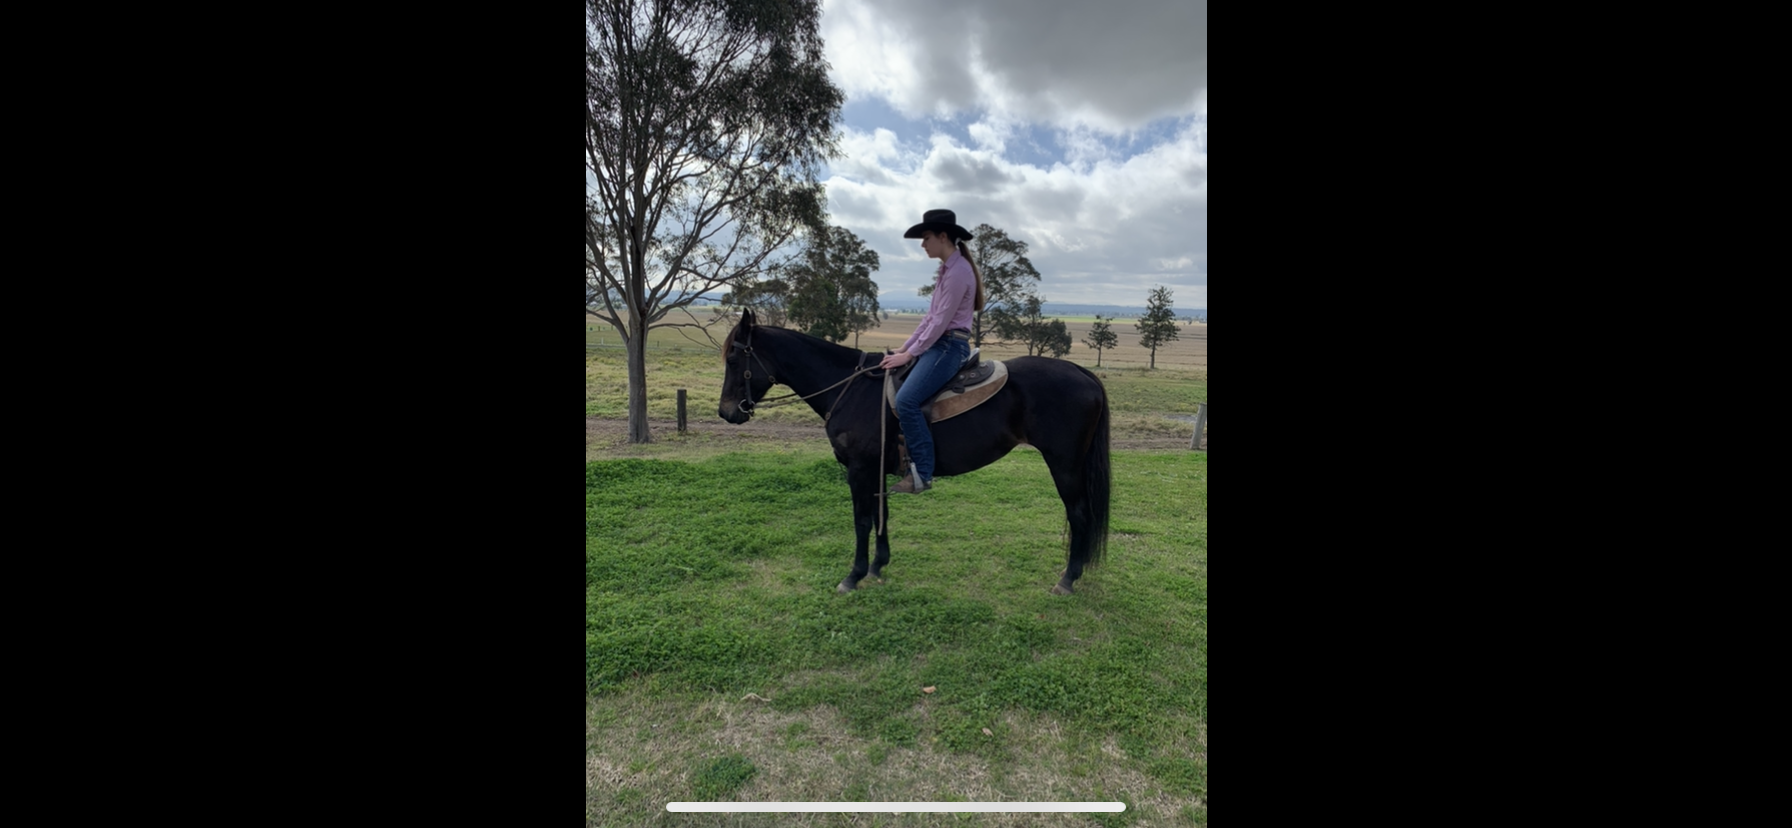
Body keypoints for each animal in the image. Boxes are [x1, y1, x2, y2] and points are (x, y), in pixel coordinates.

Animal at [716, 309, 1111, 595]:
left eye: (733, 360)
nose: (727, 412)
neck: (850, 389)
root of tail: (1083, 373)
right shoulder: (876, 470)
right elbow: (882, 516)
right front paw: (878, 566)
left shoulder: (859, 470)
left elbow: (862, 520)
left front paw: (854, 575)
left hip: (1065, 466)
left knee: (1078, 515)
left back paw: (1067, 579)